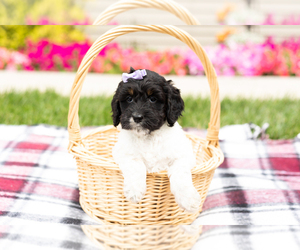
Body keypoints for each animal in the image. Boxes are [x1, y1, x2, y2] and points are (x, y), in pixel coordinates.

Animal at [111, 68, 200, 213]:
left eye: (153, 99)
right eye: (129, 99)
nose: (137, 117)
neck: (149, 137)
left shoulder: (183, 155)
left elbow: (180, 173)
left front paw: (188, 199)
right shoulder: (123, 153)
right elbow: (136, 165)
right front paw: (134, 191)